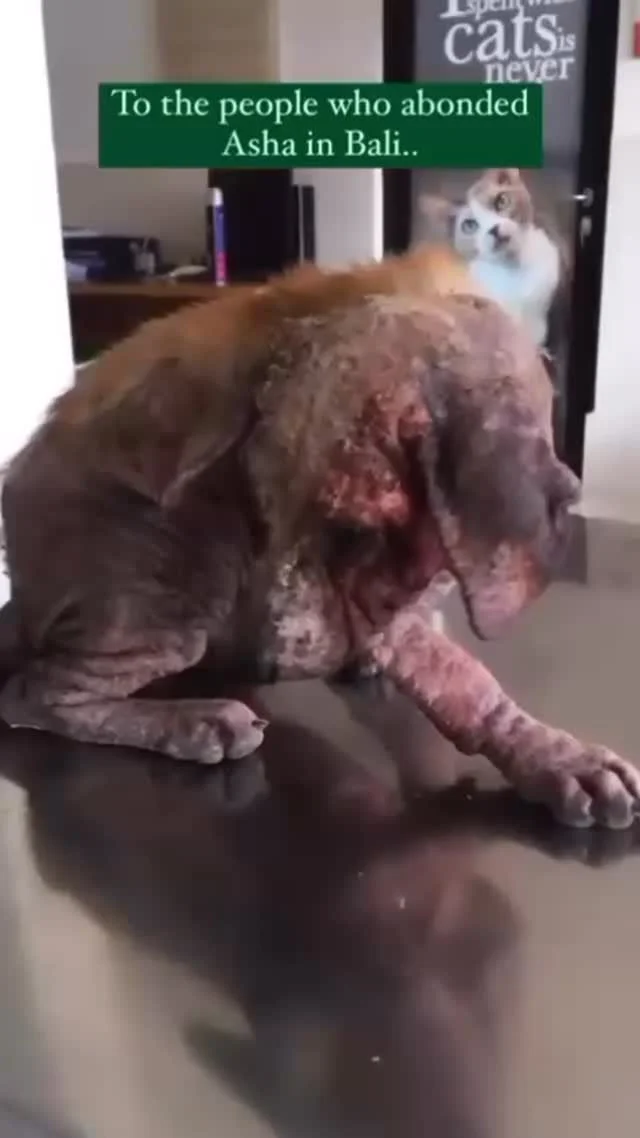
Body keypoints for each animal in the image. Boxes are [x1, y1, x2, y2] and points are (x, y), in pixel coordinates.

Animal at [0, 268, 638, 830]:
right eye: (267, 502)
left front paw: (554, 756)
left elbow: (460, 677)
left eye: (362, 526)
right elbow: (460, 675)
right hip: (172, 579)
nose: (276, 653)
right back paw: (196, 721)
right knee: (34, 695)